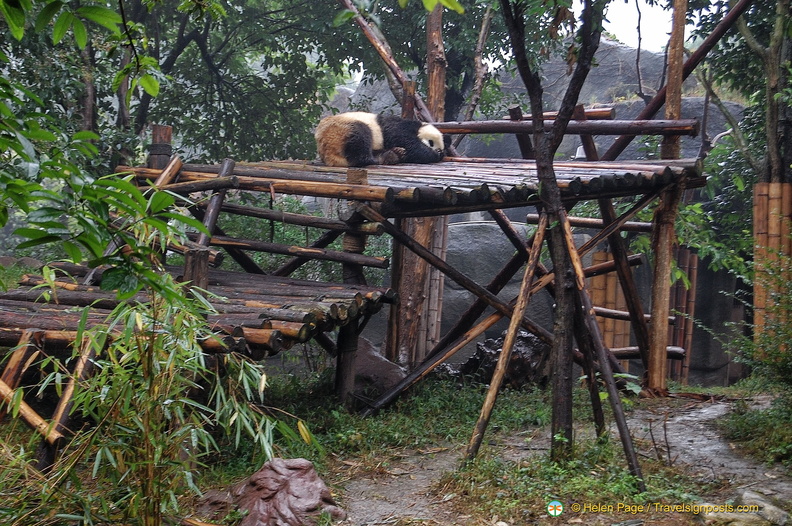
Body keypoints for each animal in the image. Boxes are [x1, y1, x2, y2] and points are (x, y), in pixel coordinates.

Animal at [314, 112, 446, 168]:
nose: (437, 150)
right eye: (431, 142)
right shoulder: (397, 126)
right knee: (360, 136)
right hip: (341, 129)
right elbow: (403, 139)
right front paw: (434, 154)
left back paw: (394, 154)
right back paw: (381, 158)